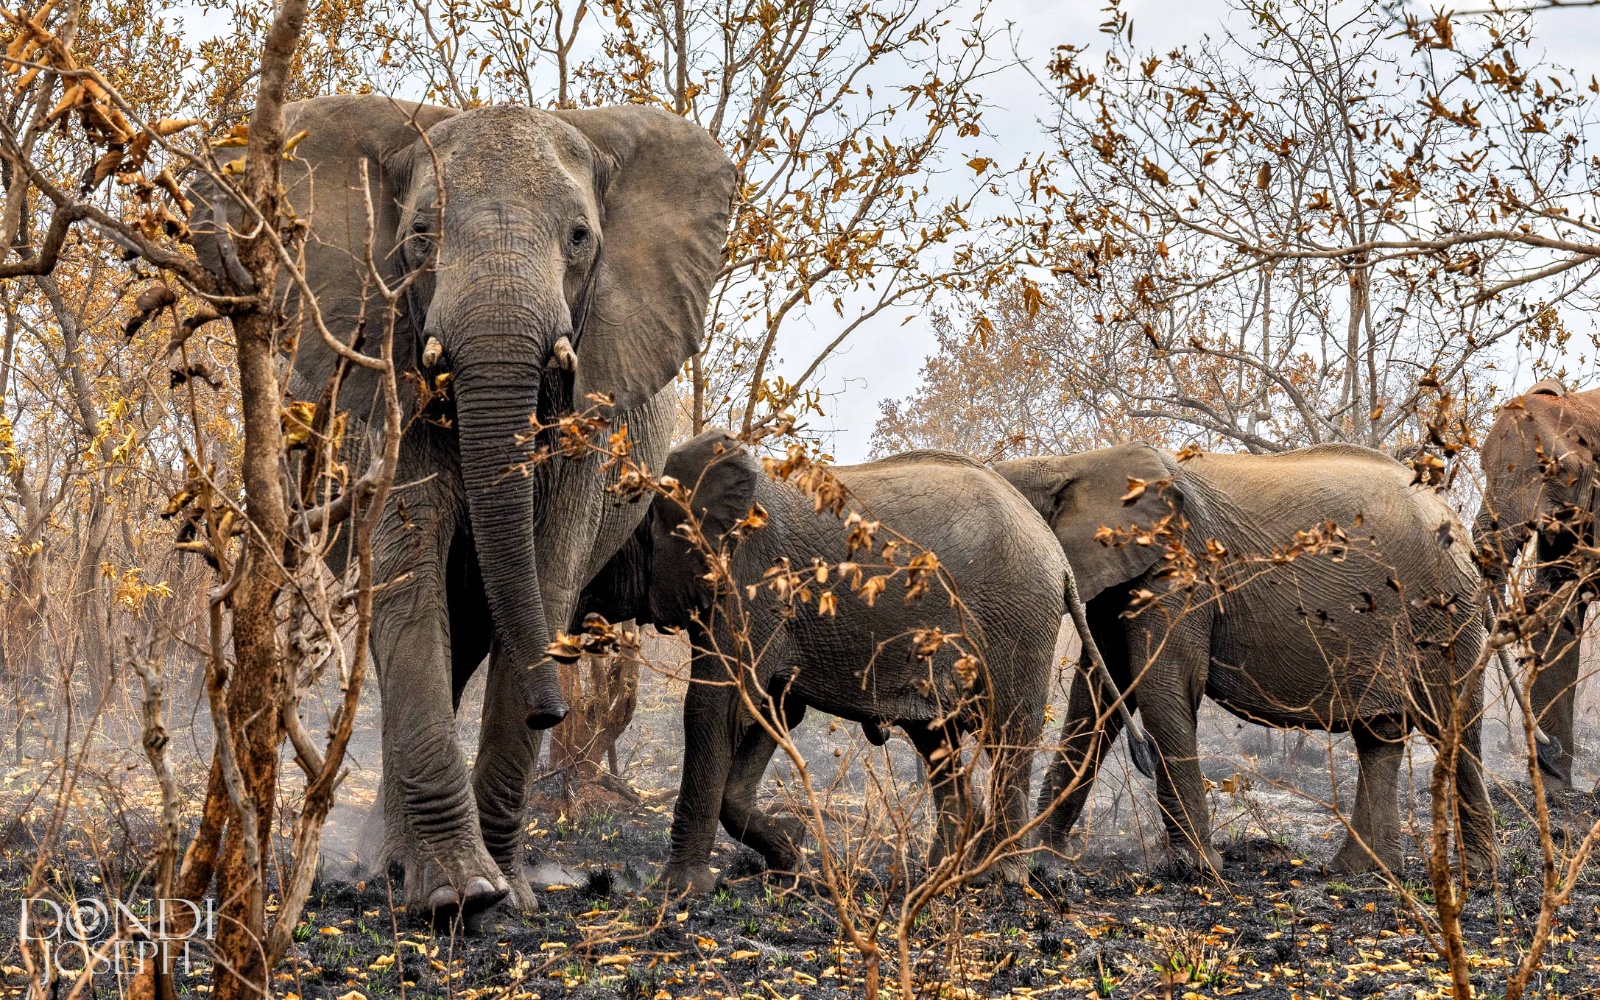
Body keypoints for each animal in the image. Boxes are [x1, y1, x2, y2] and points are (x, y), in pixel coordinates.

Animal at [189, 95, 735, 919]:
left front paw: (507, 898)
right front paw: (458, 896)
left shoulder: (591, 413)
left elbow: (546, 573)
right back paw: (395, 869)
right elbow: (409, 572)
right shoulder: (385, 378)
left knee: (478, 628)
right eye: (419, 235)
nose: (555, 711)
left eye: (581, 238)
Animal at [591, 430, 1068, 893]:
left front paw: (681, 890)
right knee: (940, 744)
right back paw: (936, 880)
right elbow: (774, 709)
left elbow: (717, 706)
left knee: (1009, 735)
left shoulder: (751, 584)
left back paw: (999, 878)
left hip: (1017, 622)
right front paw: (789, 852)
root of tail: (1058, 556)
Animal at [996, 442, 1496, 876]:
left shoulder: (1179, 568)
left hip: (1442, 610)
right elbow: (1097, 695)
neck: (1073, 463)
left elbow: (1163, 683)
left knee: (1450, 724)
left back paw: (1475, 873)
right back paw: (1360, 870)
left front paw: (1197, 869)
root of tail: (1455, 521)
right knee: (1380, 733)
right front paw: (1045, 861)